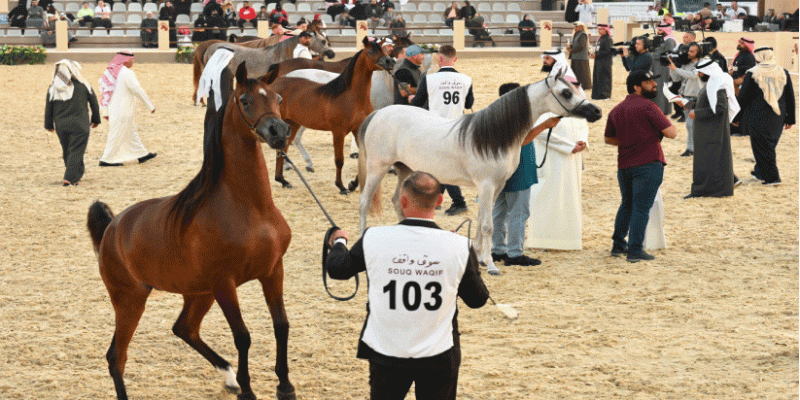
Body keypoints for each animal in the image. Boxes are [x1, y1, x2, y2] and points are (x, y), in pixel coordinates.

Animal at [86, 62, 296, 400]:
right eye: (246, 100)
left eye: (276, 97)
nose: (279, 131)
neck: (251, 209)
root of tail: (112, 228)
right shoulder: (225, 284)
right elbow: (243, 336)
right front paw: (249, 391)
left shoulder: (273, 271)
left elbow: (281, 325)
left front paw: (285, 386)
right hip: (130, 300)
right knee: (116, 356)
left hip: (198, 293)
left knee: (184, 328)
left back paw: (229, 377)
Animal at [268, 36, 396, 194]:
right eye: (371, 51)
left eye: (384, 50)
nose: (390, 62)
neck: (351, 96)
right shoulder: (338, 132)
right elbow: (339, 160)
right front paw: (341, 186)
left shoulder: (358, 129)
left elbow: (363, 159)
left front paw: (352, 184)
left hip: (293, 123)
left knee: (283, 148)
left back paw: (283, 180)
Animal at [354, 69, 600, 276]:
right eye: (566, 92)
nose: (596, 111)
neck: (493, 137)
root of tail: (377, 115)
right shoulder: (486, 185)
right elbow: (488, 225)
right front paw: (491, 265)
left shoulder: (496, 187)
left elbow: (484, 221)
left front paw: (480, 258)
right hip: (378, 168)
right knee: (364, 202)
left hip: (405, 169)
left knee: (398, 201)